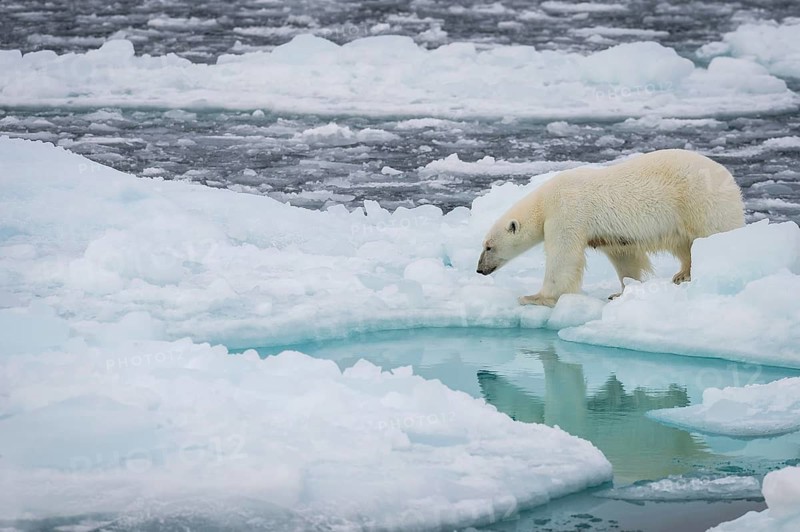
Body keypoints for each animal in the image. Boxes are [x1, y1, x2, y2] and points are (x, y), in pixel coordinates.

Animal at [476, 149, 745, 307]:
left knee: (710, 233)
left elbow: (563, 258)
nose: (480, 270)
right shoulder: (613, 236)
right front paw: (621, 292)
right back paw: (682, 273)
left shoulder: (567, 211)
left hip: (699, 201)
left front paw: (534, 297)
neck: (544, 201)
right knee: (683, 244)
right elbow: (625, 257)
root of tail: (728, 177)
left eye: (489, 246)